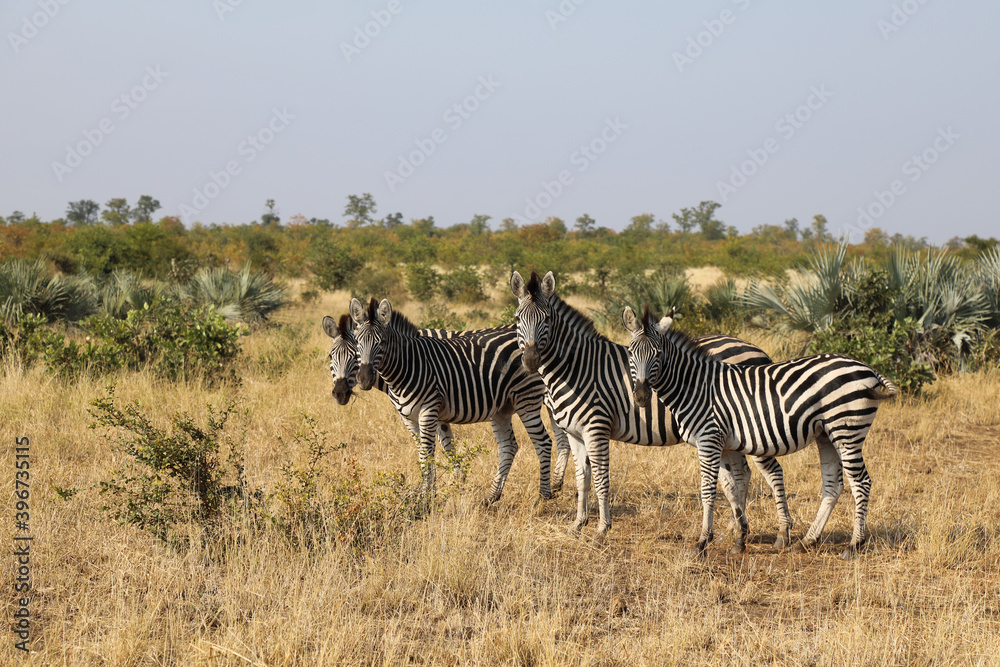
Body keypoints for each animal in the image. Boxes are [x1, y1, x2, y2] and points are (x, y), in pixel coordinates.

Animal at [349, 297, 568, 505]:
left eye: (382, 342)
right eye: (357, 343)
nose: (365, 379)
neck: (407, 366)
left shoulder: (429, 410)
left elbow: (428, 453)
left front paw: (426, 499)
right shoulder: (408, 417)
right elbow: (424, 453)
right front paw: (424, 493)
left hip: (526, 399)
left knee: (544, 442)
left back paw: (544, 496)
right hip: (503, 408)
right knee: (509, 446)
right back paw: (492, 497)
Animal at [510, 270, 792, 551]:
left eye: (546, 319)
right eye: (517, 319)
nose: (531, 361)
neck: (577, 368)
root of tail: (757, 350)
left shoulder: (596, 428)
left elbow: (601, 479)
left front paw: (601, 530)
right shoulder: (574, 433)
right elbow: (582, 479)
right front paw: (578, 525)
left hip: (755, 429)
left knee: (773, 473)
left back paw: (782, 534)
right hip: (730, 436)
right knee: (741, 475)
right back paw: (734, 533)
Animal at [622, 304, 898, 559]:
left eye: (658, 354)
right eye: (630, 353)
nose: (641, 396)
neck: (696, 386)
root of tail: (867, 368)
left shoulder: (709, 439)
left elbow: (708, 490)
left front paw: (701, 543)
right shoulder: (725, 444)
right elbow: (732, 489)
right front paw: (739, 540)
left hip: (847, 431)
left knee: (861, 482)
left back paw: (854, 545)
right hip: (826, 435)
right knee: (833, 485)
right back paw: (808, 541)